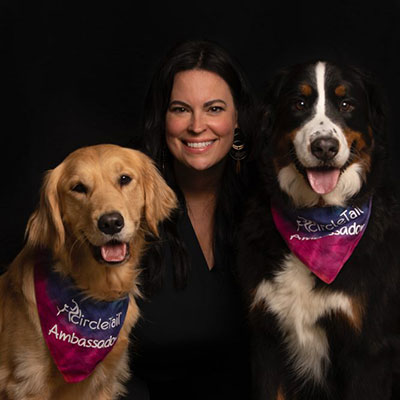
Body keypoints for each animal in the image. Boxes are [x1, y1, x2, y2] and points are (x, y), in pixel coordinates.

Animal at [238, 60, 400, 400]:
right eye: (299, 104)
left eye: (346, 104)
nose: (324, 147)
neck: (318, 224)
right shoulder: (267, 341)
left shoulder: (368, 351)